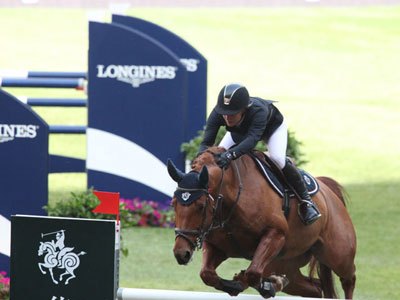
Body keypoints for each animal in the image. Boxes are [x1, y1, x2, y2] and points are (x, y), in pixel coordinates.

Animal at [166, 147, 356, 298]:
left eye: (200, 206)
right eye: (173, 203)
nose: (181, 254)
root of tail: (328, 190)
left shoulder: (276, 234)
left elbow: (253, 272)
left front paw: (259, 284)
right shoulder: (218, 246)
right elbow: (207, 274)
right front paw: (239, 285)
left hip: (338, 256)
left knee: (349, 279)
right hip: (287, 264)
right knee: (315, 288)